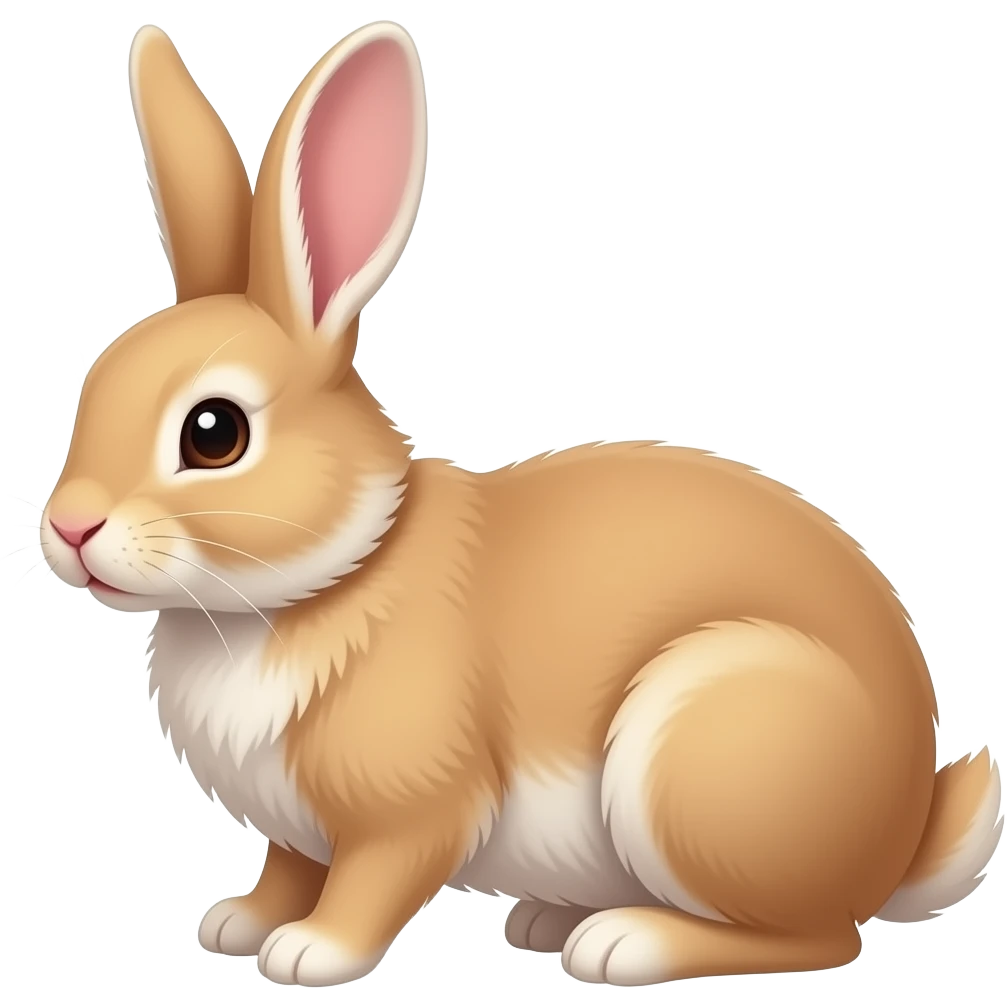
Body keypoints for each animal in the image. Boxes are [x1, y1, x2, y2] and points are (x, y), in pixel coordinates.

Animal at [38, 20, 1002, 988]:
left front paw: (311, 952)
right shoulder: (298, 831)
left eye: (214, 433)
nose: (70, 526)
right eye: (90, 383)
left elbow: (373, 879)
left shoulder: (414, 806)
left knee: (819, 937)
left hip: (704, 749)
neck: (334, 571)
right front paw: (239, 921)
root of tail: (899, 838)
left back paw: (623, 941)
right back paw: (546, 918)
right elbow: (289, 866)